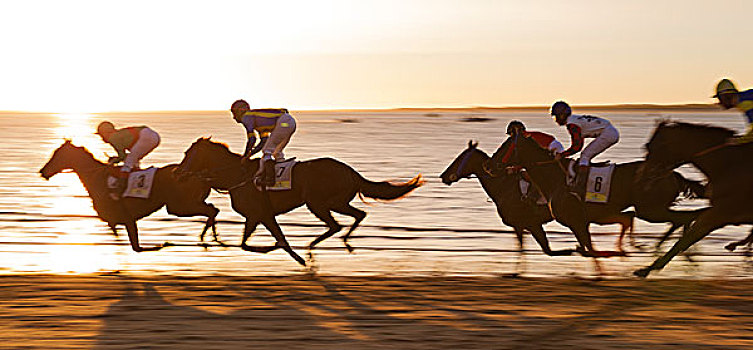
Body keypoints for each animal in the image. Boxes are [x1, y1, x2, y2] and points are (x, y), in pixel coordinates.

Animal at [39, 139, 219, 252]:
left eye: (57, 154)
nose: (43, 171)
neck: (99, 178)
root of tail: (198, 174)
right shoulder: (119, 220)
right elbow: (121, 235)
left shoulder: (127, 218)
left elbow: (136, 247)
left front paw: (163, 244)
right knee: (212, 209)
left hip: (178, 206)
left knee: (212, 210)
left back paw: (207, 237)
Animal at [175, 137, 424, 266]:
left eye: (188, 153)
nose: (178, 173)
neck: (237, 175)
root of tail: (350, 171)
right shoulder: (255, 217)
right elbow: (247, 243)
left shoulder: (263, 214)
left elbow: (274, 241)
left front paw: (287, 252)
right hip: (334, 202)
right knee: (357, 216)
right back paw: (338, 242)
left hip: (319, 202)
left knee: (338, 224)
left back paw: (320, 246)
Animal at [632, 121, 752, 278]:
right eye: (646, 146)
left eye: (654, 146)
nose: (640, 177)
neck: (728, 164)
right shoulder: (720, 213)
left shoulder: (720, 213)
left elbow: (684, 240)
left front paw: (649, 268)